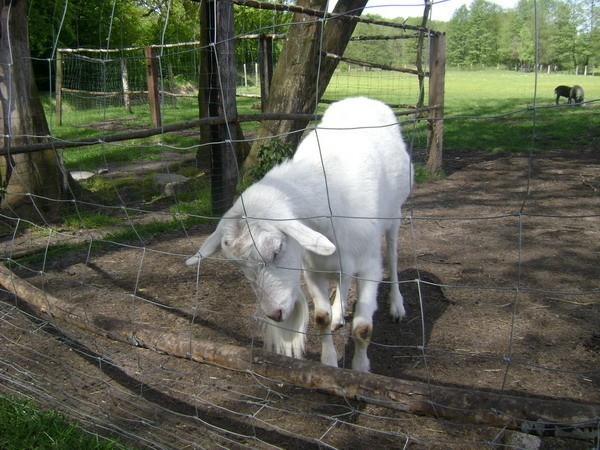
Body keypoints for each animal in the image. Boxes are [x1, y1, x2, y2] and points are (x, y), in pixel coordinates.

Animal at [186, 96, 412, 370]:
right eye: (237, 265)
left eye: (277, 250)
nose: (274, 314)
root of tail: (361, 98)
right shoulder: (312, 267)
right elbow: (322, 317)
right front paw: (329, 362)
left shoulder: (368, 266)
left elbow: (363, 329)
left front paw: (359, 370)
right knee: (344, 278)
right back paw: (340, 314)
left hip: (394, 216)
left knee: (392, 256)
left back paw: (397, 306)